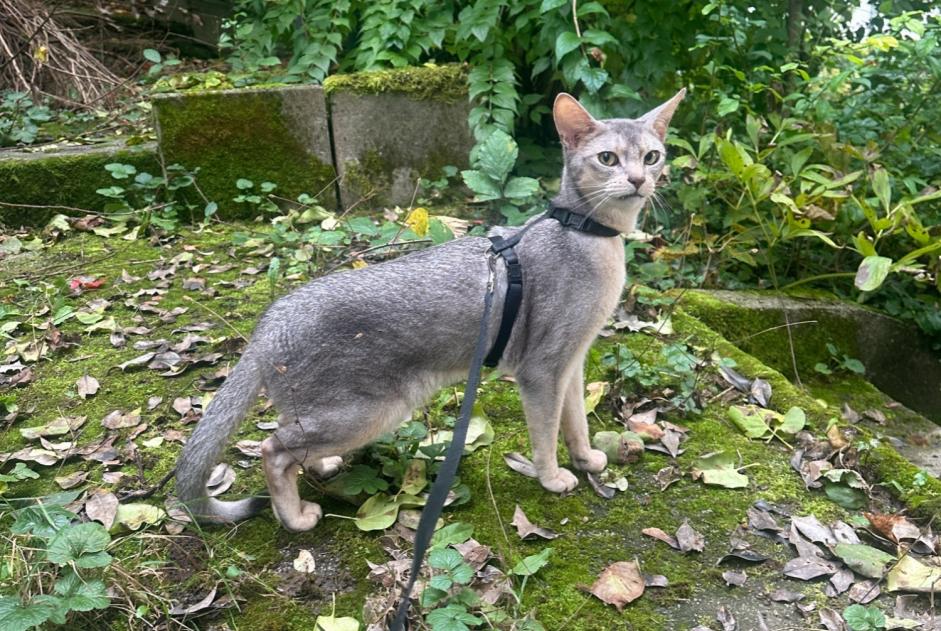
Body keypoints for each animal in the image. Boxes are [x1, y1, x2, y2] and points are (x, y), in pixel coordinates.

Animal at [174, 90, 684, 532]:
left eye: (652, 156)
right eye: (608, 159)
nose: (639, 180)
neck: (586, 236)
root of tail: (271, 320)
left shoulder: (571, 362)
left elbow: (576, 422)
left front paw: (585, 460)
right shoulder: (542, 370)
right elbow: (544, 434)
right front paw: (553, 478)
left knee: (291, 442)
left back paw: (321, 466)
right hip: (370, 410)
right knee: (272, 449)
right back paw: (296, 517)